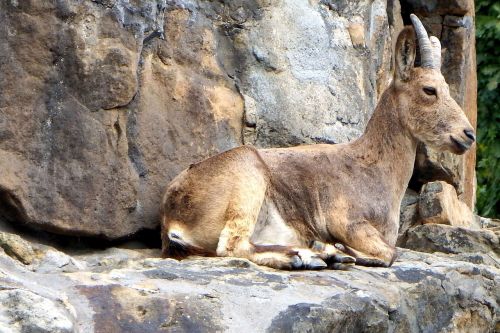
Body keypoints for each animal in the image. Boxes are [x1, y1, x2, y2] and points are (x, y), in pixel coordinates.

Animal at [158, 16, 474, 270]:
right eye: (429, 90)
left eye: (446, 88)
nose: (467, 134)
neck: (374, 168)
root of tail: (171, 218)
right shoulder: (346, 221)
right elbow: (390, 253)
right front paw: (350, 251)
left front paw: (338, 250)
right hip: (246, 177)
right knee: (232, 245)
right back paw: (308, 256)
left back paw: (322, 254)